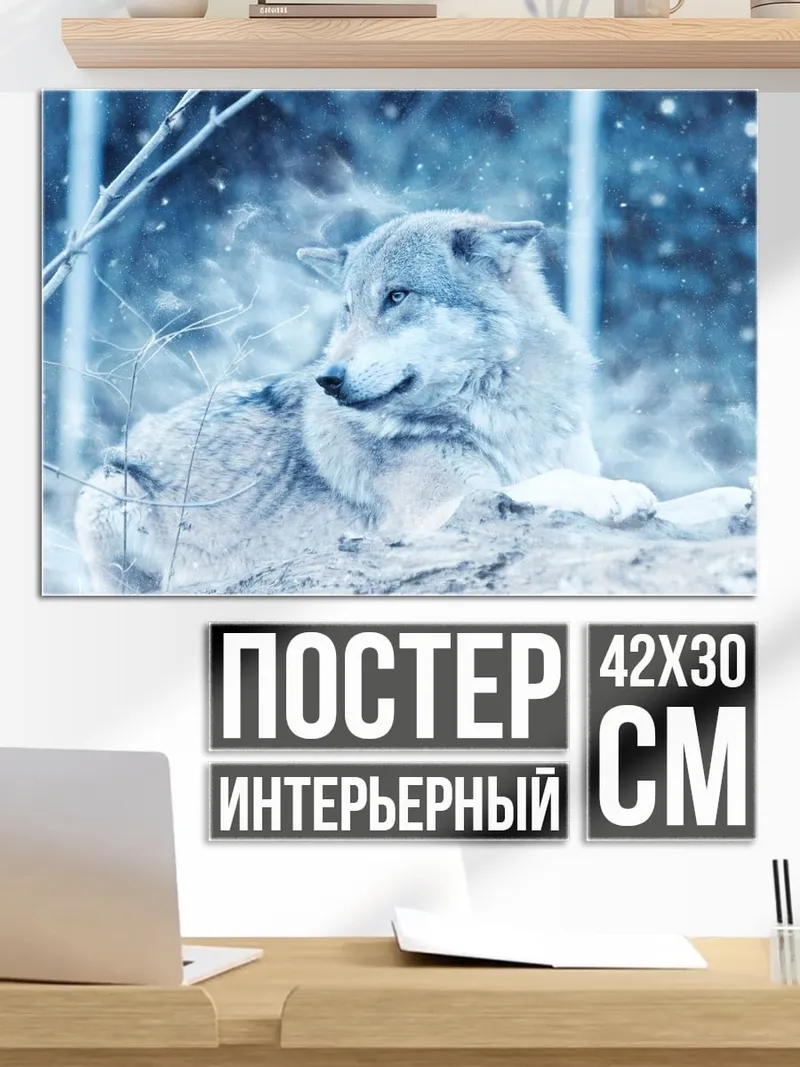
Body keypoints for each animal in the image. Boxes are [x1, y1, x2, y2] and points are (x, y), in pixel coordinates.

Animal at [75, 210, 750, 594]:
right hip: (108, 493)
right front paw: (615, 494)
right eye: (348, 310)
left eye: (396, 297)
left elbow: (681, 503)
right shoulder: (438, 514)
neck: (504, 412)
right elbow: (549, 485)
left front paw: (733, 495)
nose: (328, 379)